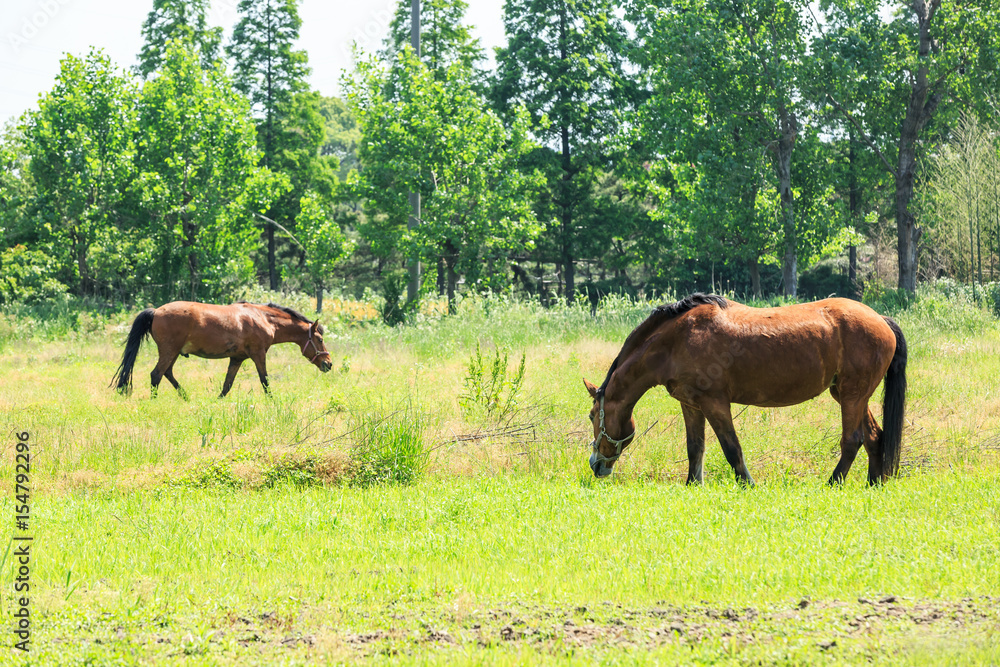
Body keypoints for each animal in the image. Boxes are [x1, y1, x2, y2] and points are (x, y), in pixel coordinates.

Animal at [112, 302, 334, 396]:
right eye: (320, 339)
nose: (329, 364)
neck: (262, 318)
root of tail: (156, 311)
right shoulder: (258, 354)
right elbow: (265, 381)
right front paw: (273, 401)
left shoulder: (237, 359)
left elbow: (227, 385)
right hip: (169, 351)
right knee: (156, 375)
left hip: (173, 353)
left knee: (167, 373)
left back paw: (185, 396)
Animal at [584, 294, 908, 488]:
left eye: (591, 416)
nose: (596, 465)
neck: (678, 339)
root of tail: (882, 320)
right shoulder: (691, 405)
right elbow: (695, 448)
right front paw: (693, 485)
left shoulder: (715, 403)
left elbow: (732, 448)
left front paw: (748, 485)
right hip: (849, 395)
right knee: (874, 437)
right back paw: (873, 484)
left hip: (852, 395)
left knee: (852, 441)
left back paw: (832, 484)